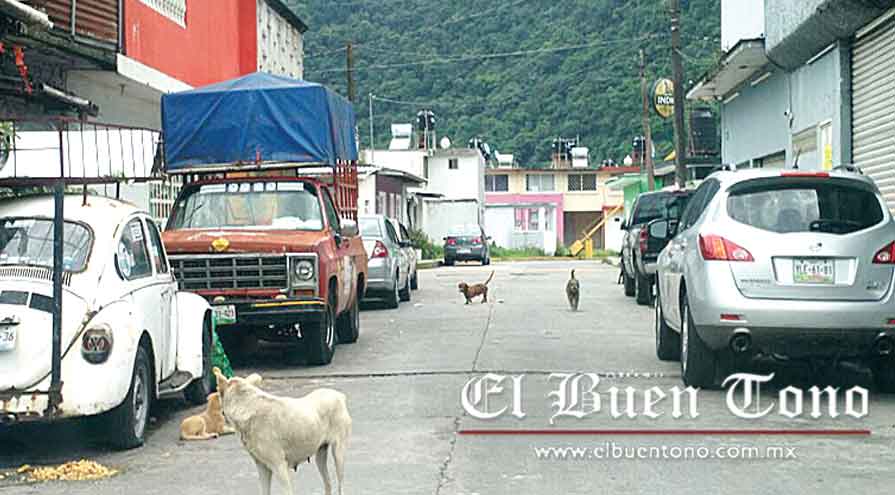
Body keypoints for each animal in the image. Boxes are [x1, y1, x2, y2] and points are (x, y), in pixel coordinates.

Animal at [215, 366, 352, 495]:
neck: (247, 406)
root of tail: (338, 395)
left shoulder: (279, 467)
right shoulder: (262, 467)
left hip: (338, 455)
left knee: (340, 486)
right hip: (320, 456)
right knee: (328, 484)